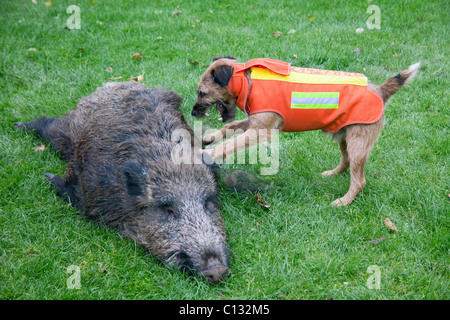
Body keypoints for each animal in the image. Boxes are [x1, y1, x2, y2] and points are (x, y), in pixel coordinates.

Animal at [190, 57, 418, 208]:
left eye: (202, 93)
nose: (192, 112)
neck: (247, 81)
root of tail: (380, 90)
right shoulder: (253, 123)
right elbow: (229, 128)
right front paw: (208, 138)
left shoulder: (259, 131)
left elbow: (228, 145)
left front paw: (205, 154)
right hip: (345, 138)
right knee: (345, 162)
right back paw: (332, 174)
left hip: (357, 144)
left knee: (359, 180)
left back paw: (343, 201)